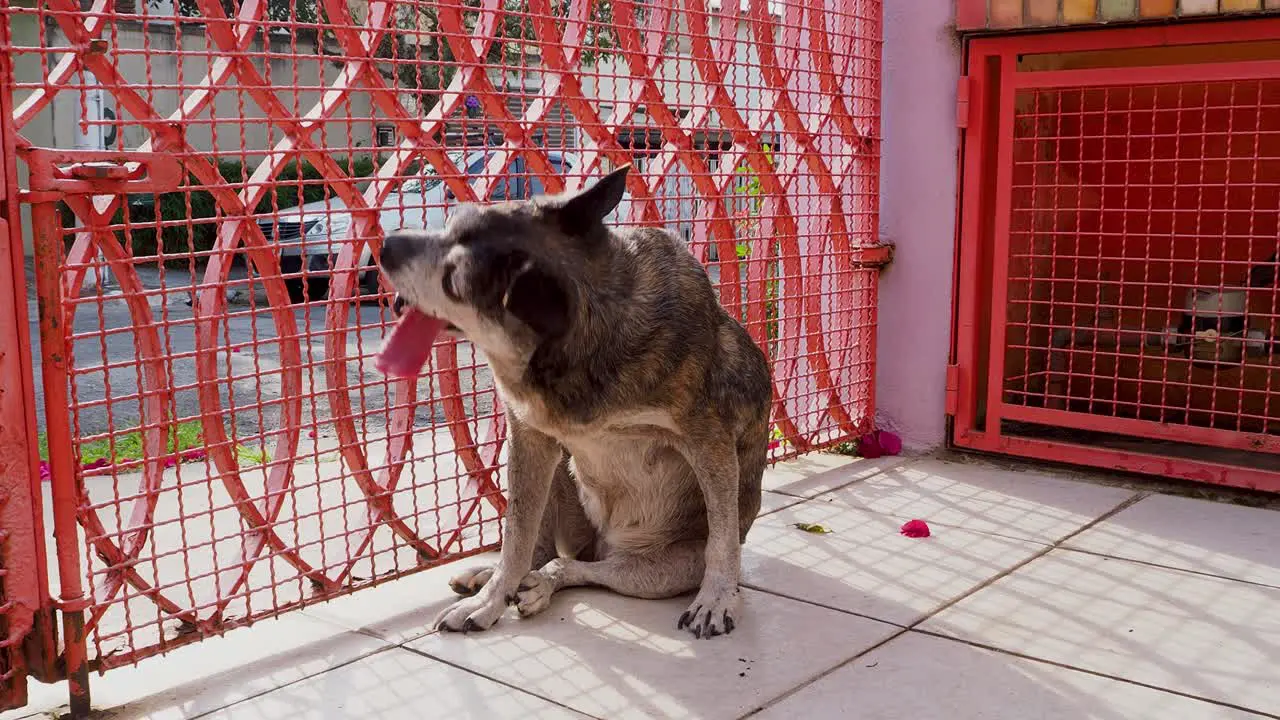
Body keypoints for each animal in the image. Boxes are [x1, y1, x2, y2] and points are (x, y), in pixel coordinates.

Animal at [371, 165, 768, 635]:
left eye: (456, 275)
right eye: (447, 226)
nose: (385, 244)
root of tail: (600, 544)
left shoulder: (710, 443)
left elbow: (722, 539)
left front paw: (717, 599)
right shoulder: (528, 438)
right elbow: (517, 535)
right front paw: (491, 598)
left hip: (658, 571)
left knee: (578, 567)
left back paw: (542, 584)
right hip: (554, 469)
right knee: (545, 550)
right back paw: (504, 579)